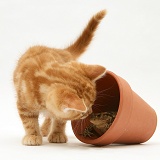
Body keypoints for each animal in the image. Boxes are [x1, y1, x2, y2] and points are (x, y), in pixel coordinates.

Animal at [13, 9, 106, 146]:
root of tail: (62, 51)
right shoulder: (23, 104)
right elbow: (29, 121)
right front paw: (33, 135)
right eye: (83, 112)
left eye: (92, 105)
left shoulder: (57, 110)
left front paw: (57, 133)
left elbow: (60, 119)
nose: (90, 113)